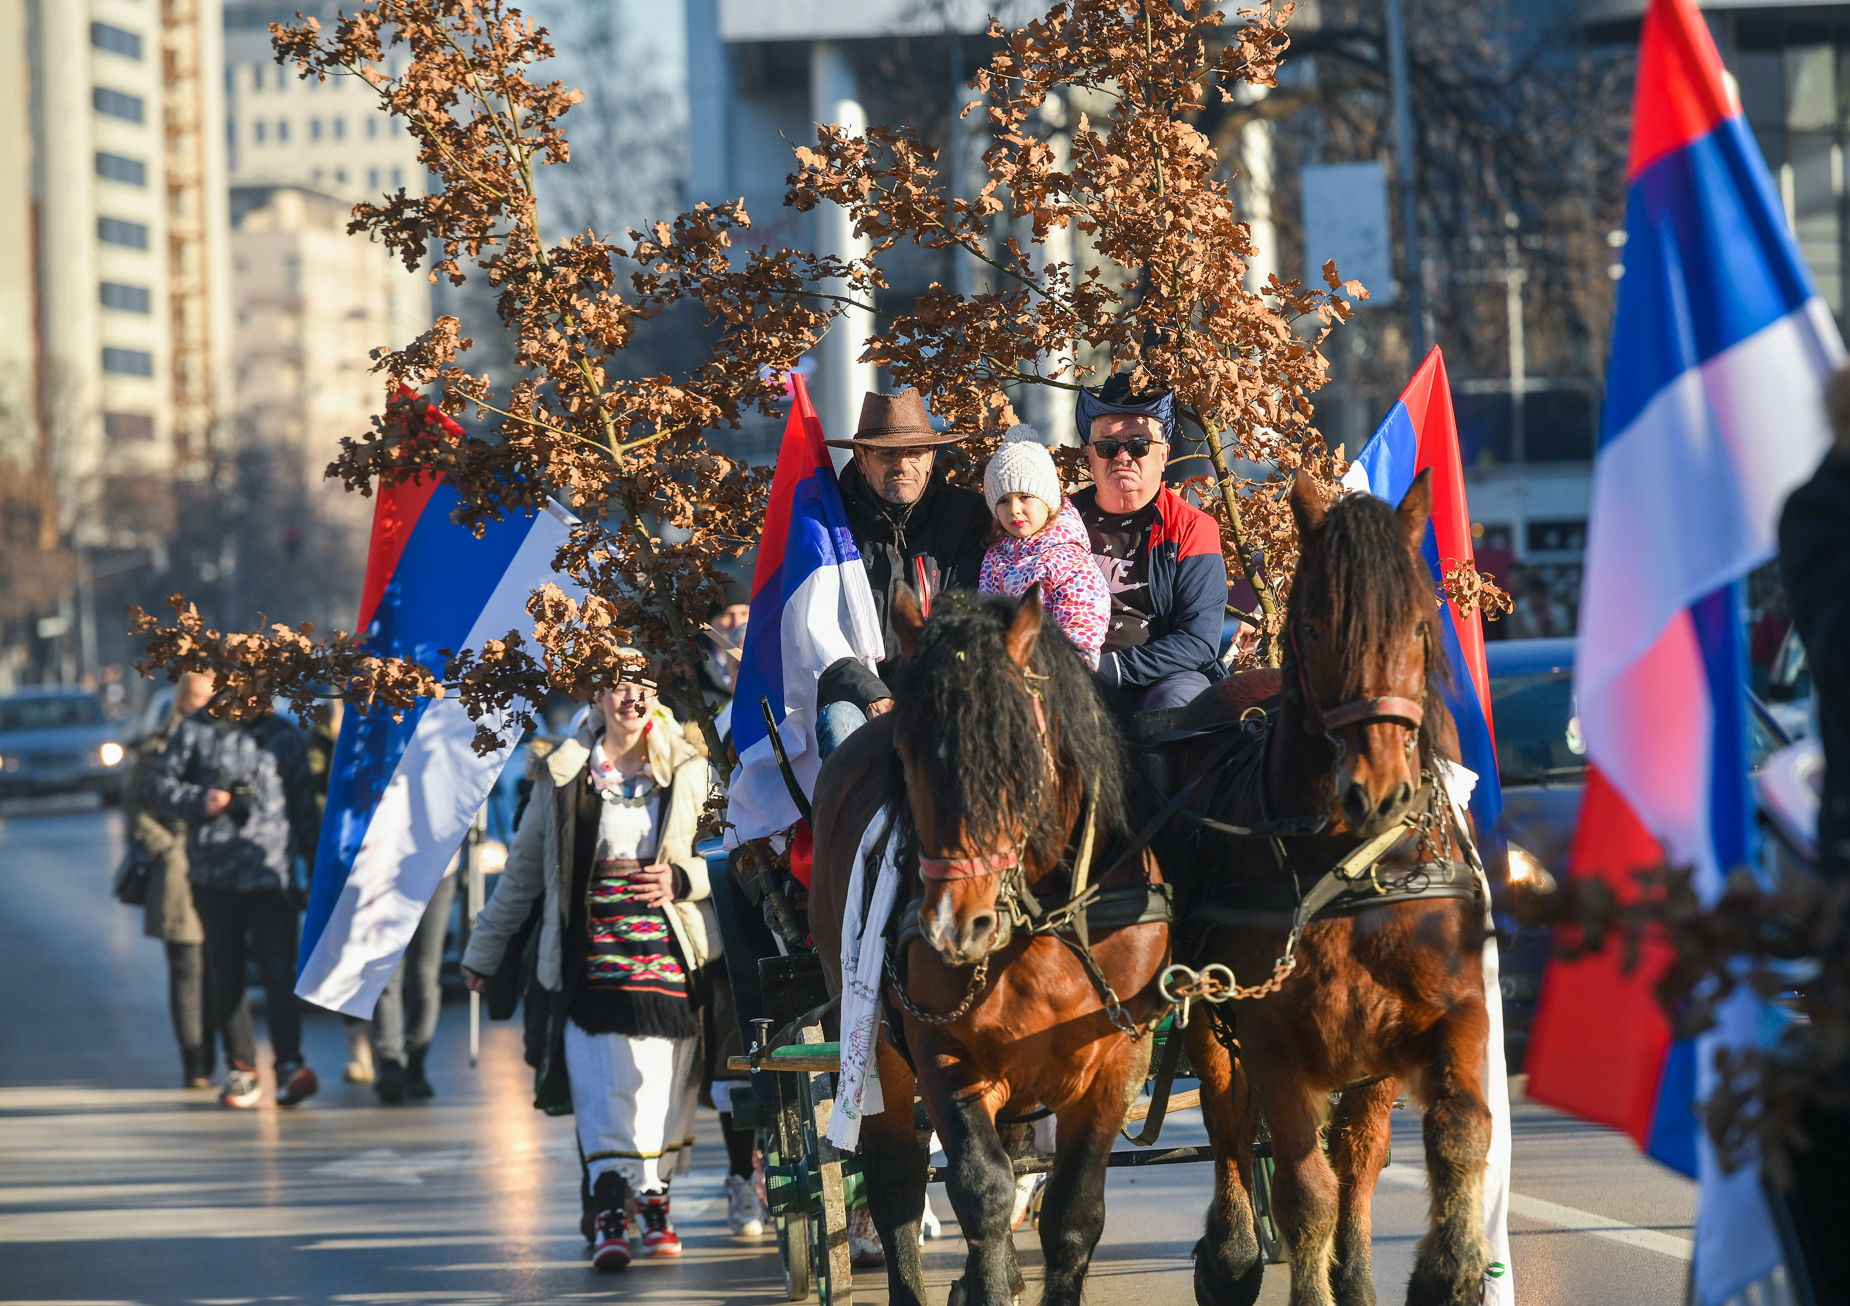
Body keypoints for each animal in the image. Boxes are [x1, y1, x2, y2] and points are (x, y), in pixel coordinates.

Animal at [814, 588, 1161, 1302]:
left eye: (1017, 748)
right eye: (907, 753)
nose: (953, 924)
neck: (1041, 920)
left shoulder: (1117, 1063)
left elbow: (1073, 1214)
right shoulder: (943, 1052)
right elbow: (980, 1192)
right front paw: (989, 1279)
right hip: (878, 1053)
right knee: (897, 1181)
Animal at [1176, 473, 1494, 1302]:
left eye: (1417, 627)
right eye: (1316, 629)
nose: (1378, 791)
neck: (1349, 871)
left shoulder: (1444, 1011)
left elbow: (1459, 1131)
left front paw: (1451, 1270)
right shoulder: (1270, 1035)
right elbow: (1302, 1192)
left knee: (1360, 1150)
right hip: (1201, 1008)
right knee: (1227, 1122)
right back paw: (1231, 1251)